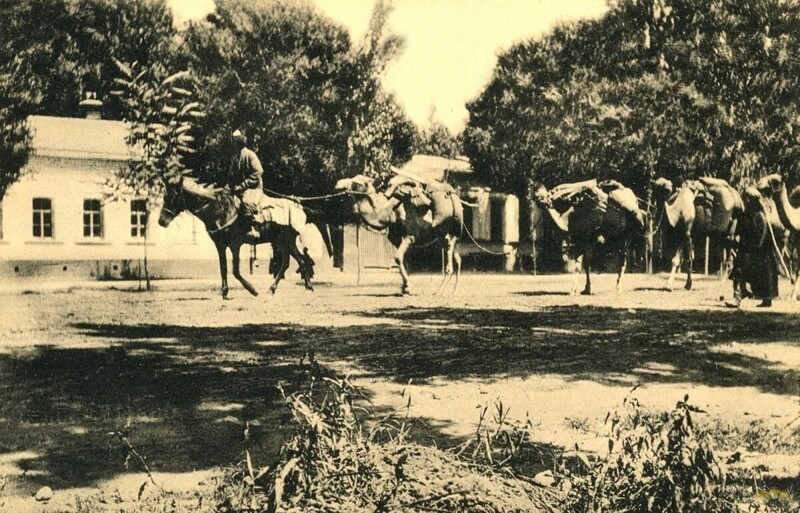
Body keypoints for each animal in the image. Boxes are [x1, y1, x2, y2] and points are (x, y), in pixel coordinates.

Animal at [157, 177, 316, 298]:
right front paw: (224, 292)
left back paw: (275, 289)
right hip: (284, 242)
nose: (161, 221)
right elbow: (223, 268)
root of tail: (298, 206)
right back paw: (305, 287)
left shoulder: (235, 245)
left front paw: (252, 289)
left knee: (292, 262)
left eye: (172, 197)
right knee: (297, 262)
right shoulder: (220, 245)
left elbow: (235, 270)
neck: (219, 211)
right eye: (164, 197)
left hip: (285, 241)